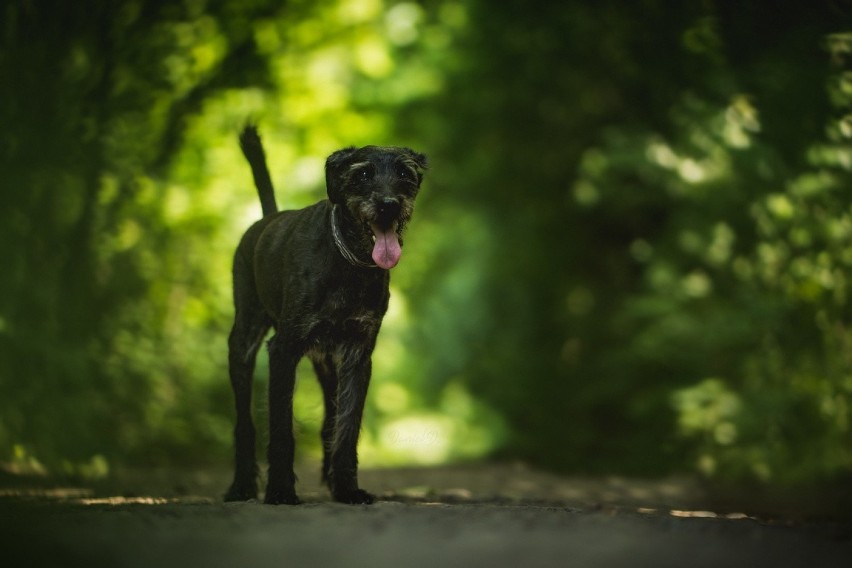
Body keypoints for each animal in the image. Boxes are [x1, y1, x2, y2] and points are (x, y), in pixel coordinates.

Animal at [225, 126, 426, 504]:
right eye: (362, 174)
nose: (389, 205)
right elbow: (281, 428)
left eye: (405, 174)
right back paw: (241, 485)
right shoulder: (283, 350)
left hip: (327, 364)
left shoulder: (358, 355)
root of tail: (266, 220)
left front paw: (348, 488)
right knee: (244, 422)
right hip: (243, 342)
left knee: (330, 421)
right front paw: (280, 491)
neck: (348, 262)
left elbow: (346, 428)